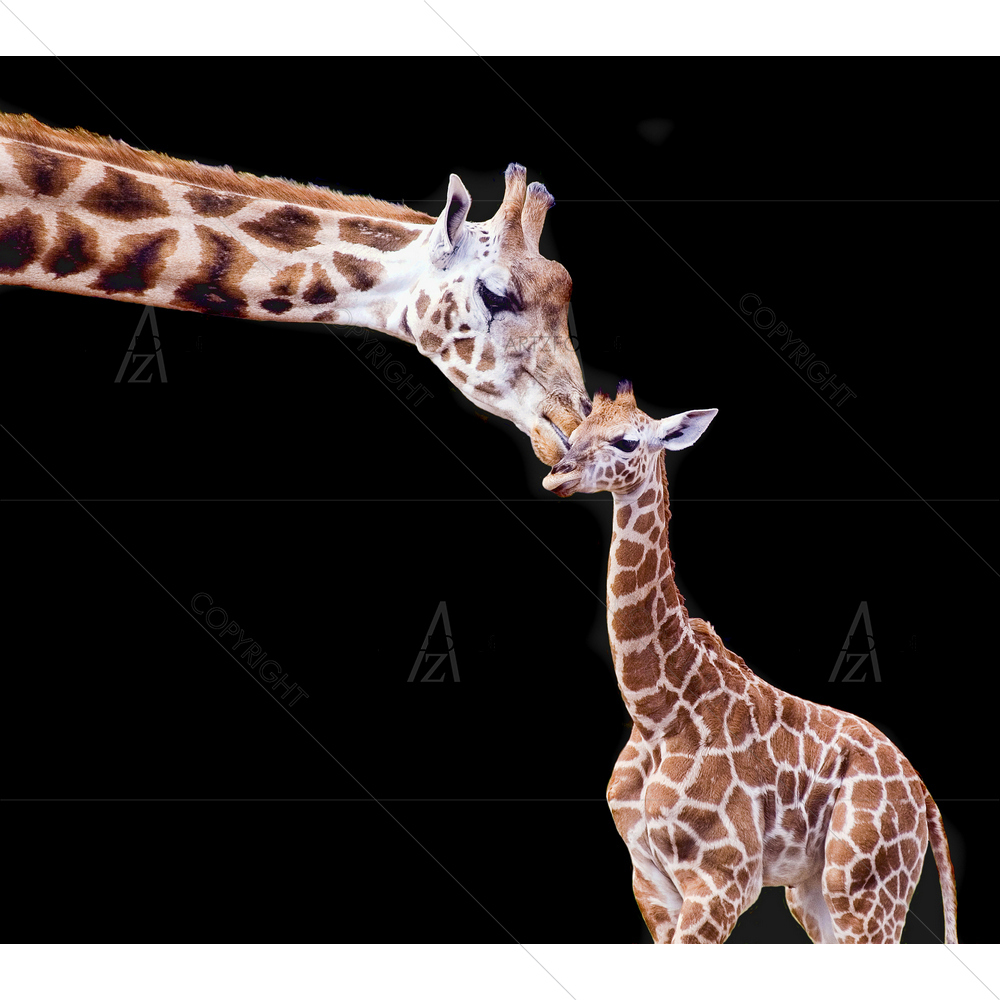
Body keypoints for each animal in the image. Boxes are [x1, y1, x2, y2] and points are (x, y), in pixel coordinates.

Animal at [543, 382, 958, 944]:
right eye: (575, 433)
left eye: (627, 441)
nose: (556, 474)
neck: (655, 711)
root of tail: (924, 797)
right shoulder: (649, 884)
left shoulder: (722, 879)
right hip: (813, 892)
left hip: (865, 890)